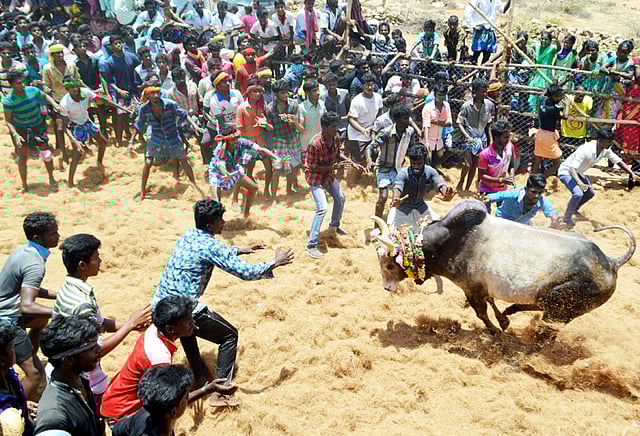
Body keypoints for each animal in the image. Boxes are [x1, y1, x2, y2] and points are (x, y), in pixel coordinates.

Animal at [370, 199, 636, 334]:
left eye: (389, 265)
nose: (386, 288)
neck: (452, 240)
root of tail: (611, 263)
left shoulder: (471, 287)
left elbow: (481, 311)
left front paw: (496, 330)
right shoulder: (482, 287)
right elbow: (490, 303)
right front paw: (503, 322)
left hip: (559, 307)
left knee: (545, 332)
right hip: (552, 301)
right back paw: (511, 311)